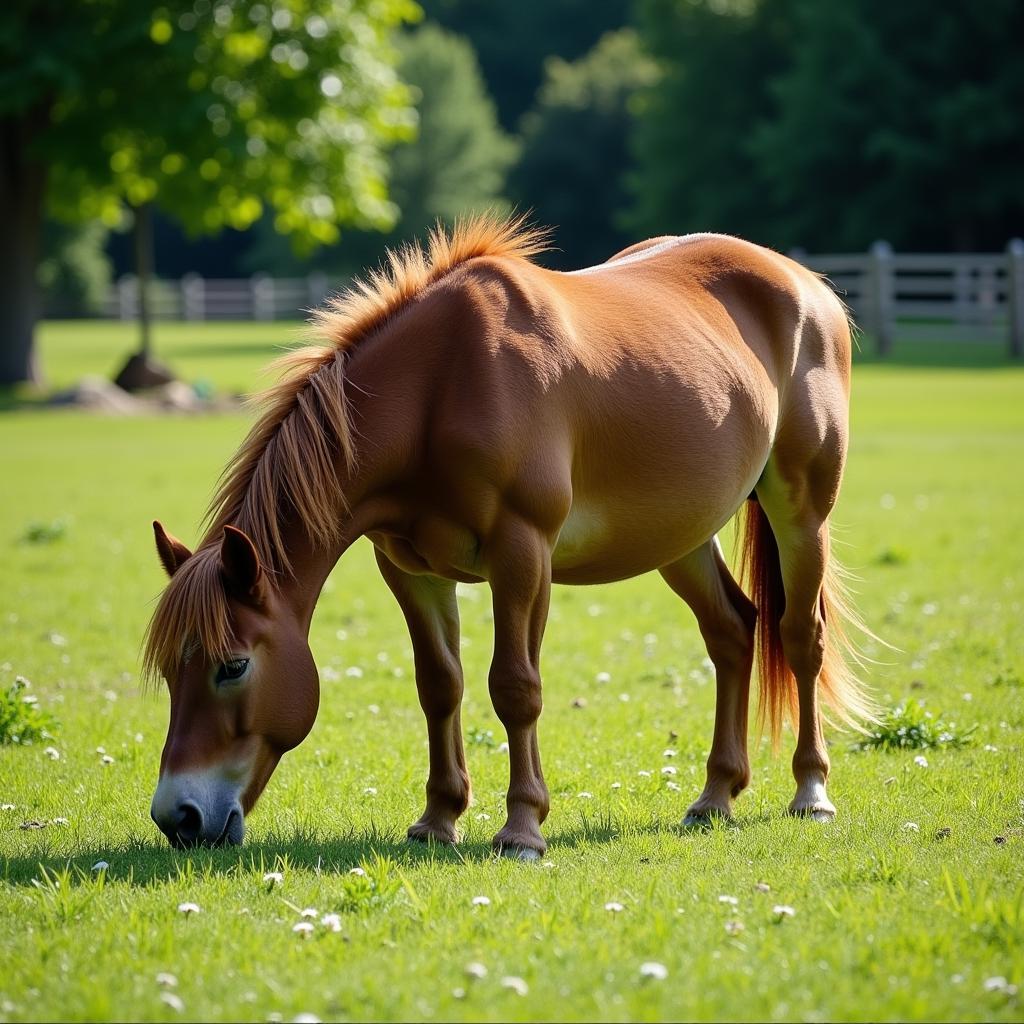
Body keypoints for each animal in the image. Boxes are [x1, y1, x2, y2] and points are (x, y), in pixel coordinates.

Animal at [146, 214, 872, 856]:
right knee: (733, 632)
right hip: (683, 536)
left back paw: (811, 791)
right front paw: (438, 819)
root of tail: (802, 281)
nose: (178, 817)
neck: (440, 386)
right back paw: (716, 795)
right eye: (169, 669)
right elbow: (439, 685)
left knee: (800, 636)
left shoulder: (521, 555)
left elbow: (515, 688)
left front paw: (522, 828)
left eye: (233, 665)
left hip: (801, 512)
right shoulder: (410, 571)